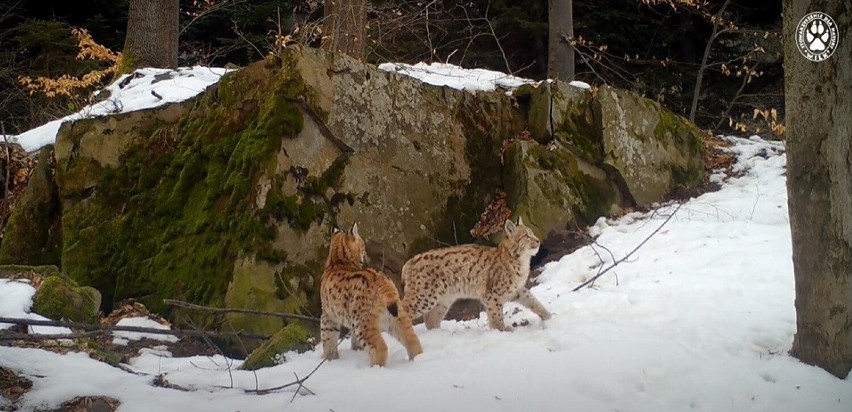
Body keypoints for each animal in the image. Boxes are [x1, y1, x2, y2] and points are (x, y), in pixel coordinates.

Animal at [320, 224, 422, 366]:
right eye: (363, 244)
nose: (366, 252)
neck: (338, 260)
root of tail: (380, 279)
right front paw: (355, 349)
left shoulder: (327, 315)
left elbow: (328, 337)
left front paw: (329, 358)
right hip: (394, 315)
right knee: (411, 338)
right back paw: (419, 359)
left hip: (363, 322)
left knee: (380, 347)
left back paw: (375, 368)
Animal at [402, 219, 552, 332]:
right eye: (526, 236)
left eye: (532, 233)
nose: (538, 241)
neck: (520, 260)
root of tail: (410, 261)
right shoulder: (491, 294)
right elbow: (496, 314)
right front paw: (501, 330)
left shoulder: (517, 290)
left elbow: (533, 301)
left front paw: (549, 317)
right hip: (424, 296)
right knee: (402, 312)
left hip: (444, 299)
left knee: (430, 320)